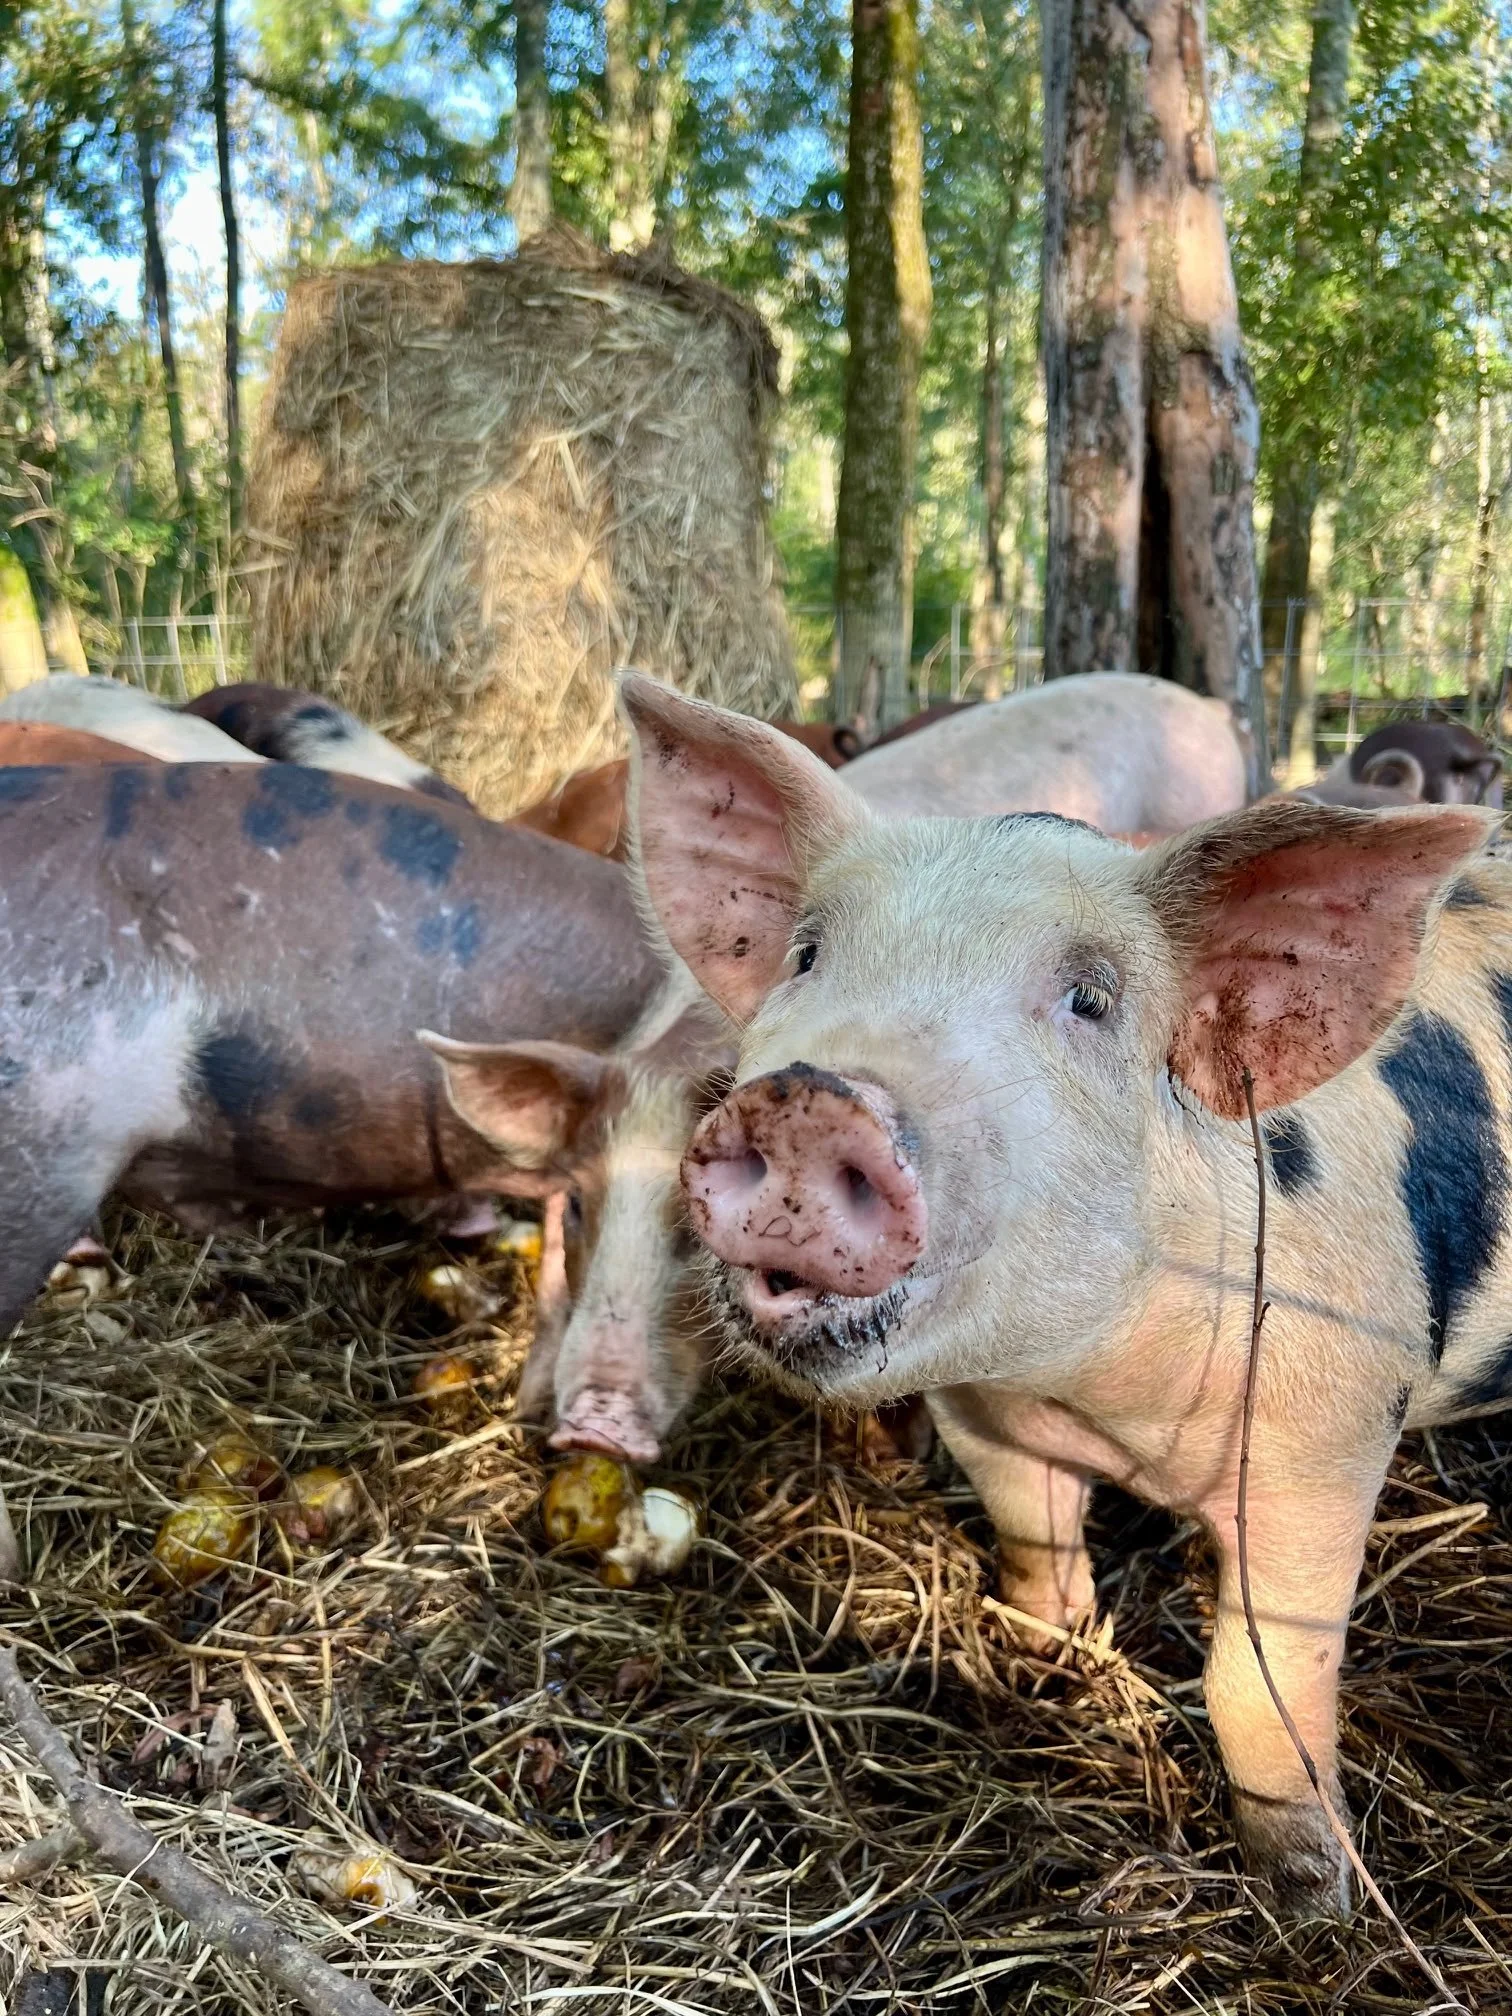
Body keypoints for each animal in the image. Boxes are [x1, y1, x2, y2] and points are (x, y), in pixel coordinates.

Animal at [618, 672, 1510, 1919]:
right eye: (806, 955)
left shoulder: (1327, 1439)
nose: (809, 1102)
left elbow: (1260, 1678)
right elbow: (1032, 1542)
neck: (1092, 1393)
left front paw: (1314, 1905)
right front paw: (1049, 1659)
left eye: (1089, 999)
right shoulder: (983, 1418)